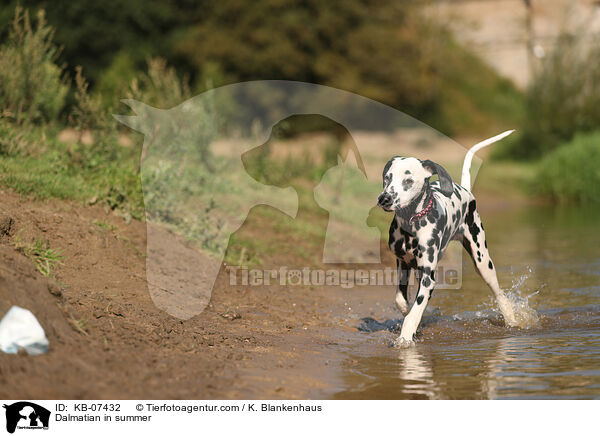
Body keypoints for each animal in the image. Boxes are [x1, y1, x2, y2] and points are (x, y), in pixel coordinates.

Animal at [378, 130, 516, 348]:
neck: (411, 225)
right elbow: (402, 301)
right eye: (387, 178)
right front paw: (409, 312)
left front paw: (406, 337)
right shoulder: (403, 263)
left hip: (482, 261)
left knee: (499, 293)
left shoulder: (428, 278)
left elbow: (414, 313)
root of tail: (466, 190)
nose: (384, 199)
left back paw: (512, 319)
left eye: (408, 180)